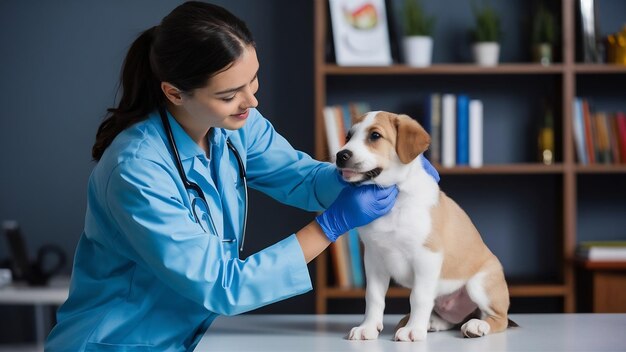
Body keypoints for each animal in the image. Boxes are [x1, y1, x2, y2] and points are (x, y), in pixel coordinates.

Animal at [336, 110, 512, 340]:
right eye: (348, 137)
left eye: (375, 136)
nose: (340, 155)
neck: (397, 198)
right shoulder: (374, 260)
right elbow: (373, 297)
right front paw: (368, 327)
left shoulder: (427, 257)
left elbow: (418, 297)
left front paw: (413, 330)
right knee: (449, 319)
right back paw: (433, 322)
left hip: (479, 284)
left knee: (499, 319)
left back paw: (477, 325)